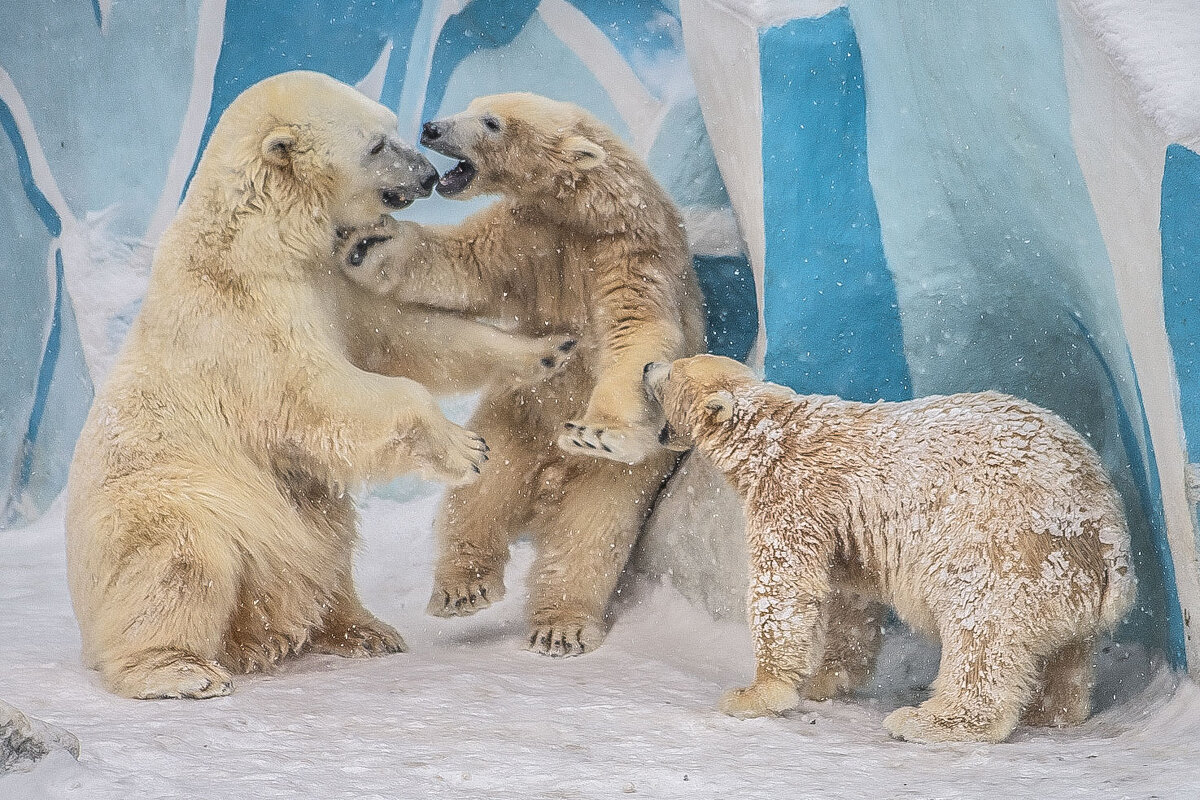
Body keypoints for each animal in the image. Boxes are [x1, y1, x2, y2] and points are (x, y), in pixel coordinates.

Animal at [66, 74, 501, 700]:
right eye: (376, 144)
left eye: (393, 127)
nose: (425, 173)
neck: (258, 238)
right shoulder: (250, 319)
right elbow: (323, 394)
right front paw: (469, 448)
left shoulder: (328, 283)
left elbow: (397, 335)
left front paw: (542, 353)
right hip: (162, 503)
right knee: (180, 558)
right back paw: (179, 668)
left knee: (326, 537)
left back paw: (362, 629)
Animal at [333, 94, 705, 657]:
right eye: (474, 105)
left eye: (491, 122)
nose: (432, 126)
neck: (581, 214)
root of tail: (549, 477)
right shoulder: (528, 239)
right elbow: (461, 265)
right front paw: (368, 239)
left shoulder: (630, 254)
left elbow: (637, 335)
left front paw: (598, 432)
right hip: (514, 417)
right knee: (483, 491)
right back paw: (463, 587)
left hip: (621, 476)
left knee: (591, 532)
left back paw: (561, 625)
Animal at [648, 357, 1132, 743]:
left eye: (671, 370)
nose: (647, 366)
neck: (774, 434)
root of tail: (1106, 528)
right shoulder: (845, 528)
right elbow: (849, 597)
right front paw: (825, 679)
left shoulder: (796, 494)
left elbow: (785, 586)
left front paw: (754, 694)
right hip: (1064, 573)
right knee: (1067, 650)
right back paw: (1051, 711)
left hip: (1003, 542)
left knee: (980, 625)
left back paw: (928, 721)